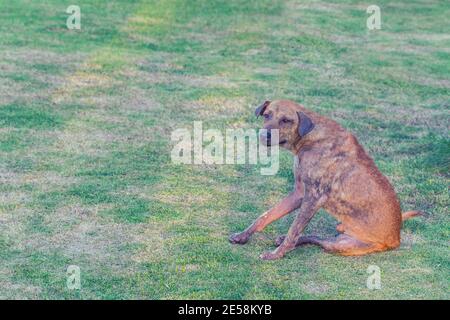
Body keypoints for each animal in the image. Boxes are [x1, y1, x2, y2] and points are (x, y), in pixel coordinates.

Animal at [229, 100, 422, 260]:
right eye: (267, 115)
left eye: (286, 120)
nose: (264, 135)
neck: (310, 137)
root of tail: (396, 238)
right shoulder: (299, 193)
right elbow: (266, 216)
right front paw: (242, 236)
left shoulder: (313, 198)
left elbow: (294, 230)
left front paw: (276, 254)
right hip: (339, 235)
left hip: (342, 245)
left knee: (315, 239)